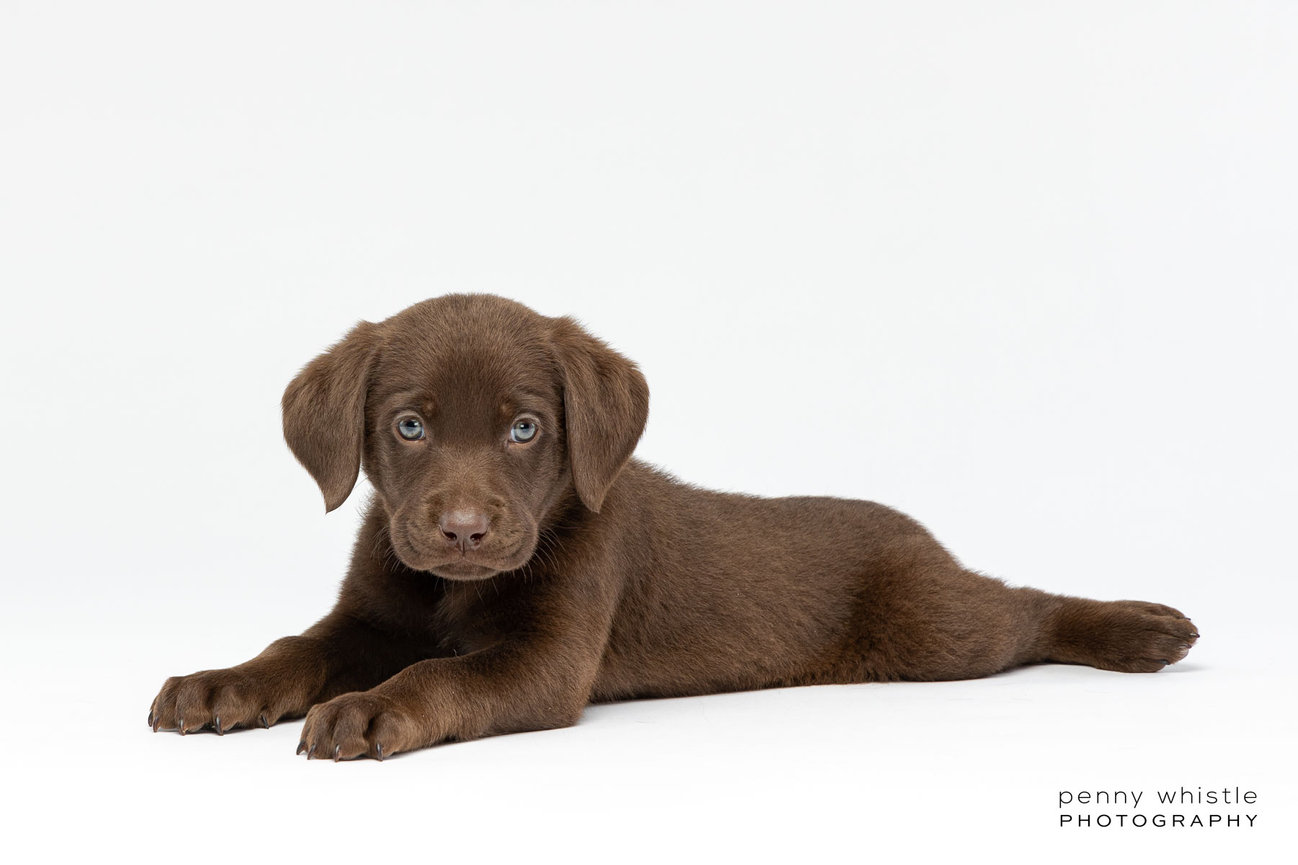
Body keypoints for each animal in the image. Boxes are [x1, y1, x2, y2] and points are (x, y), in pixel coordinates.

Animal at [149, 293, 1194, 758]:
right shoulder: (365, 615)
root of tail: (921, 536)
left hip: (935, 629)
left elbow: (444, 674)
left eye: (525, 428)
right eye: (409, 426)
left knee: (1022, 607)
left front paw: (372, 707)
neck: (453, 590)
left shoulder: (549, 658)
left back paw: (1141, 628)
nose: (463, 531)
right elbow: (293, 647)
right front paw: (219, 683)